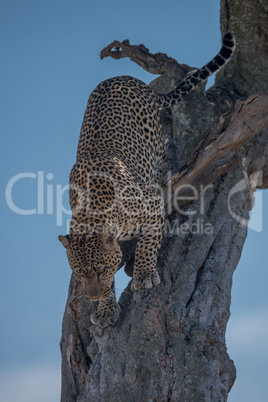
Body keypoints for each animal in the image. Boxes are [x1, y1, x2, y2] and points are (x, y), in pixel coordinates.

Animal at [58, 33, 234, 328]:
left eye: (101, 269)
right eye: (80, 273)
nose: (93, 296)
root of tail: (126, 77)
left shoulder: (151, 208)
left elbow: (148, 243)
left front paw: (144, 274)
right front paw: (106, 308)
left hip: (156, 147)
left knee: (161, 168)